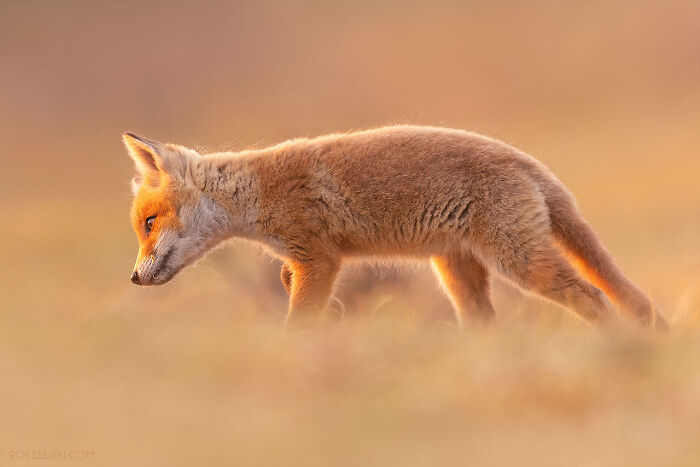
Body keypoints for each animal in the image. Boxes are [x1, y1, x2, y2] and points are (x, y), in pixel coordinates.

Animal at [124, 125, 667, 329]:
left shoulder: (321, 259)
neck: (258, 193)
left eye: (149, 223)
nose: (133, 278)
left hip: (519, 263)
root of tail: (528, 162)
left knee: (592, 296)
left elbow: (298, 321)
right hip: (457, 271)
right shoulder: (307, 262)